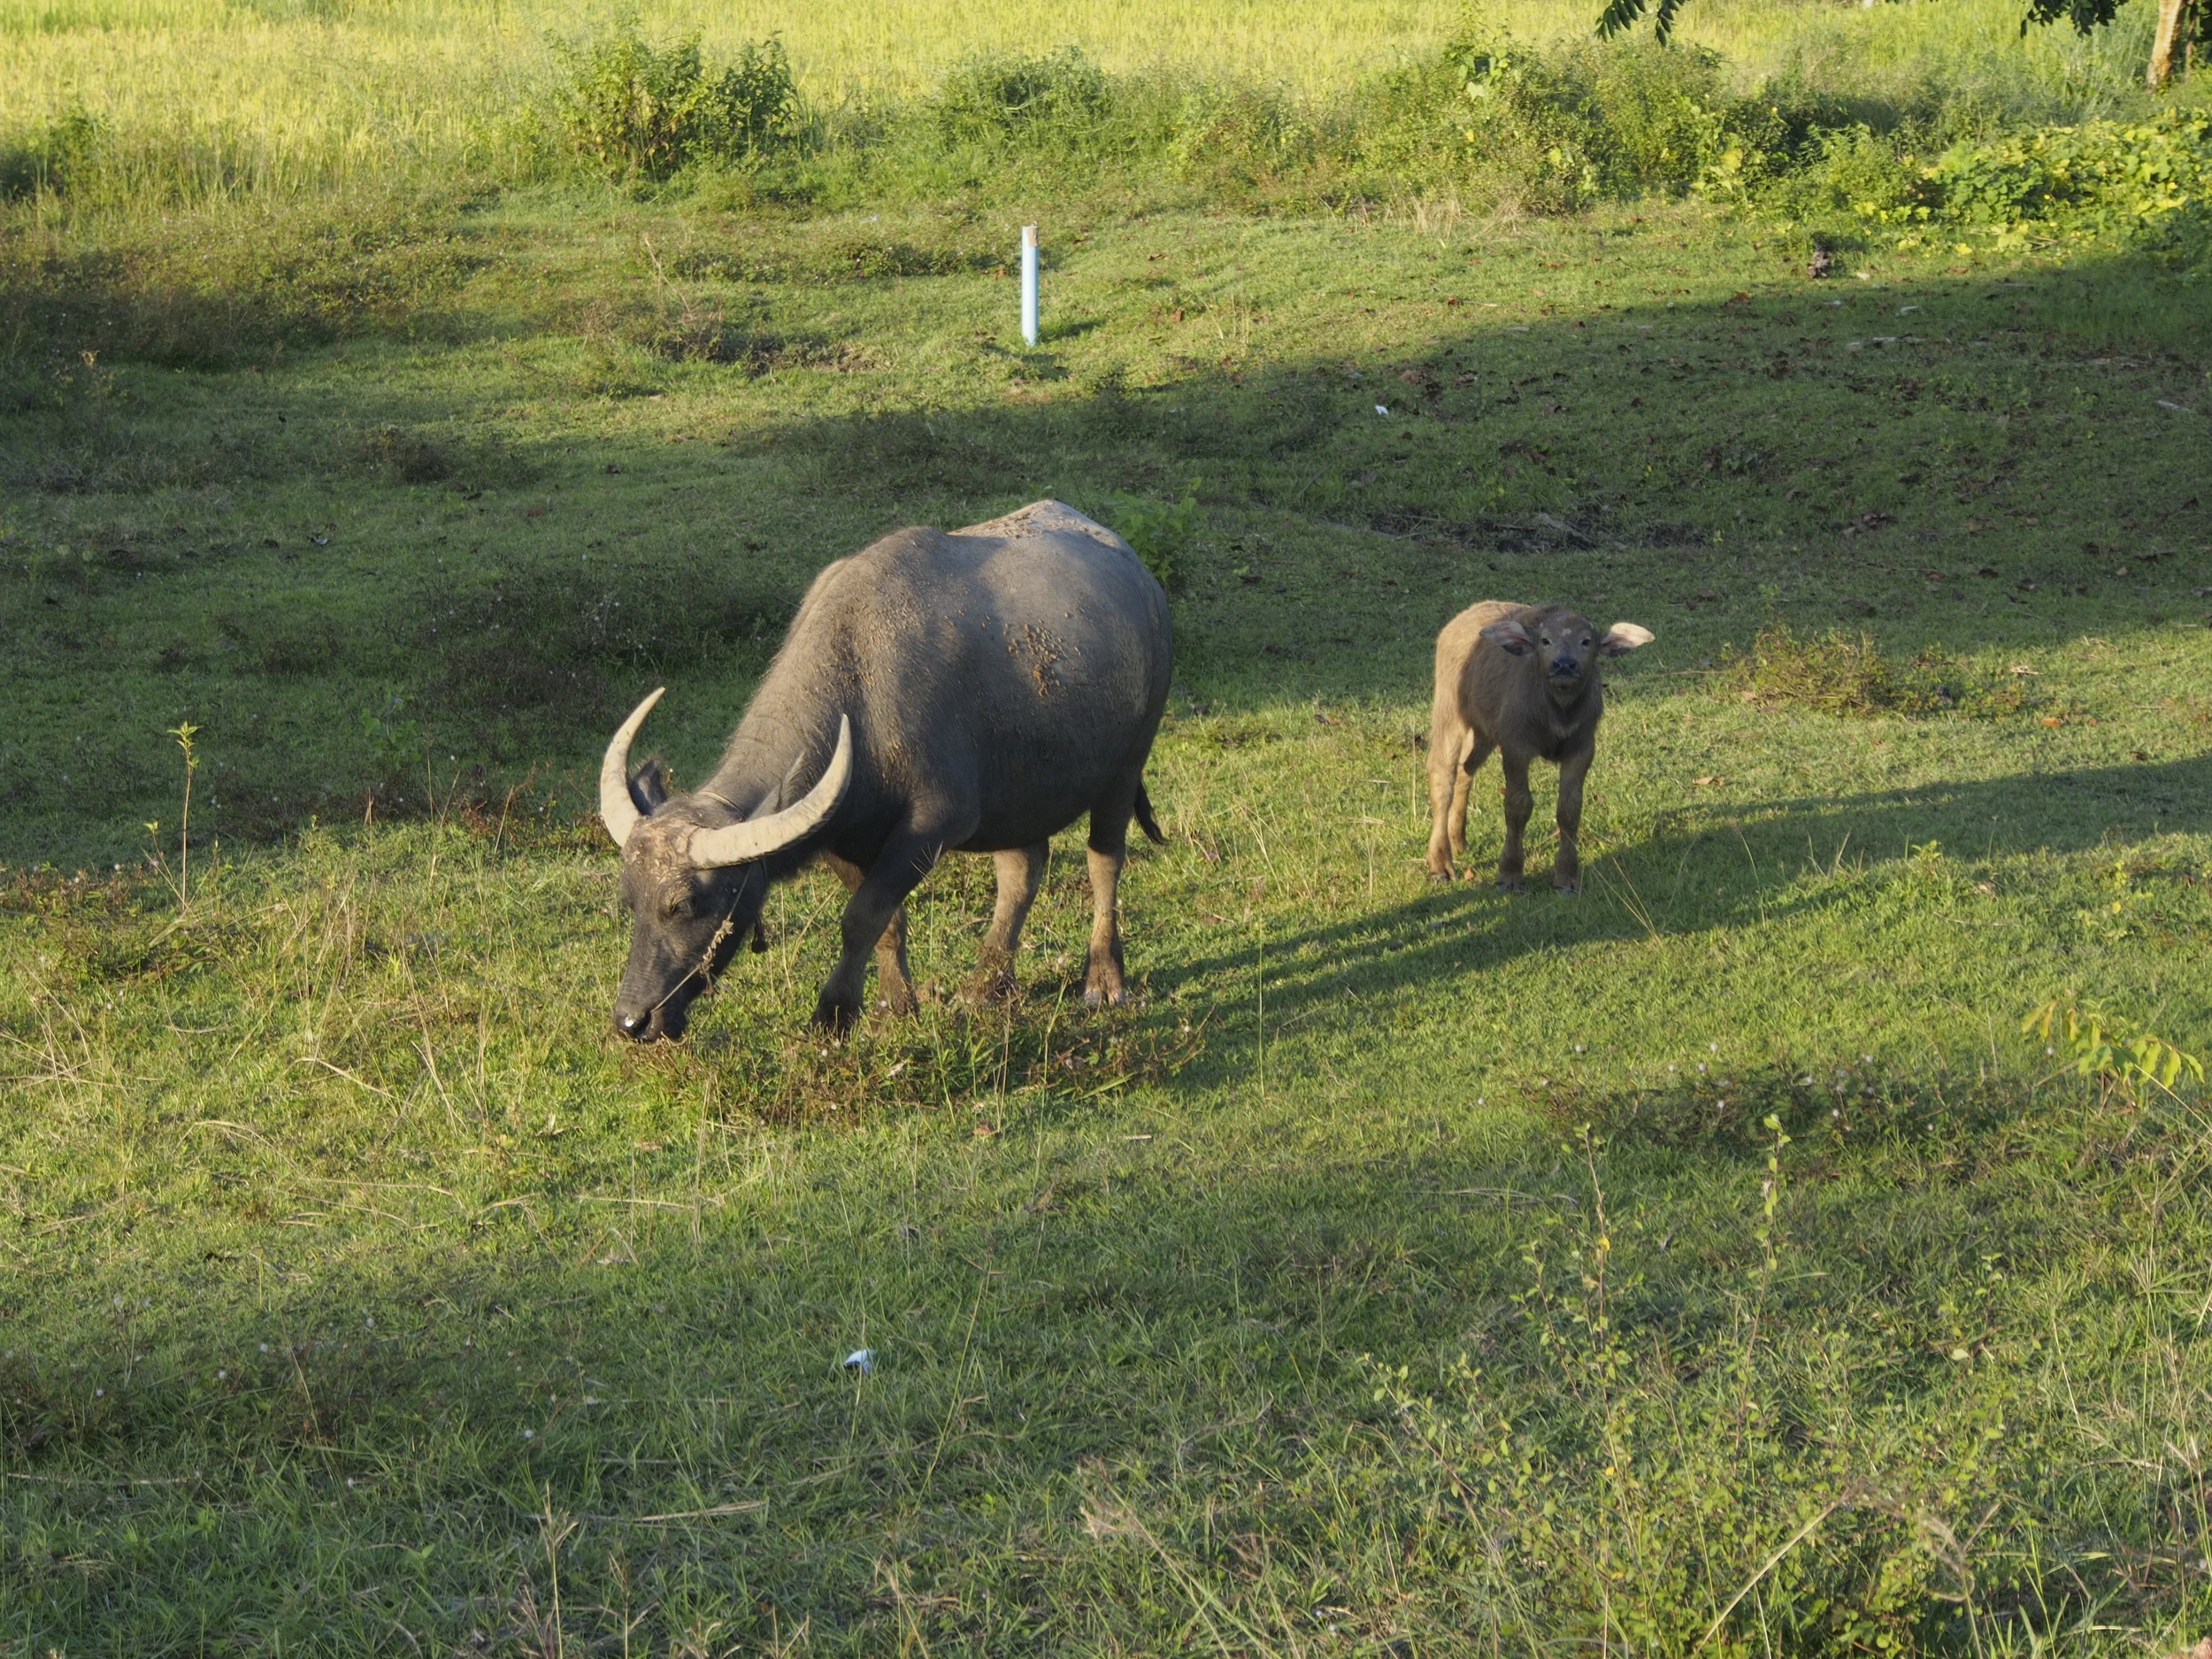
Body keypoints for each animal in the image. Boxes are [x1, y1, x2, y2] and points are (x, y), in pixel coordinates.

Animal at [599, 500, 1172, 1039]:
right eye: (630, 901)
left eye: (684, 904)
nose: (633, 1020)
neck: (860, 691)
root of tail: (1143, 580)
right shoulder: (840, 834)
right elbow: (886, 920)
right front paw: (894, 1002)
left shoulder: (934, 825)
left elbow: (861, 917)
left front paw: (834, 1013)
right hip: (1018, 795)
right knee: (1022, 869)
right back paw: (987, 983)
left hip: (1127, 764)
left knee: (1104, 861)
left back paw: (1103, 979)